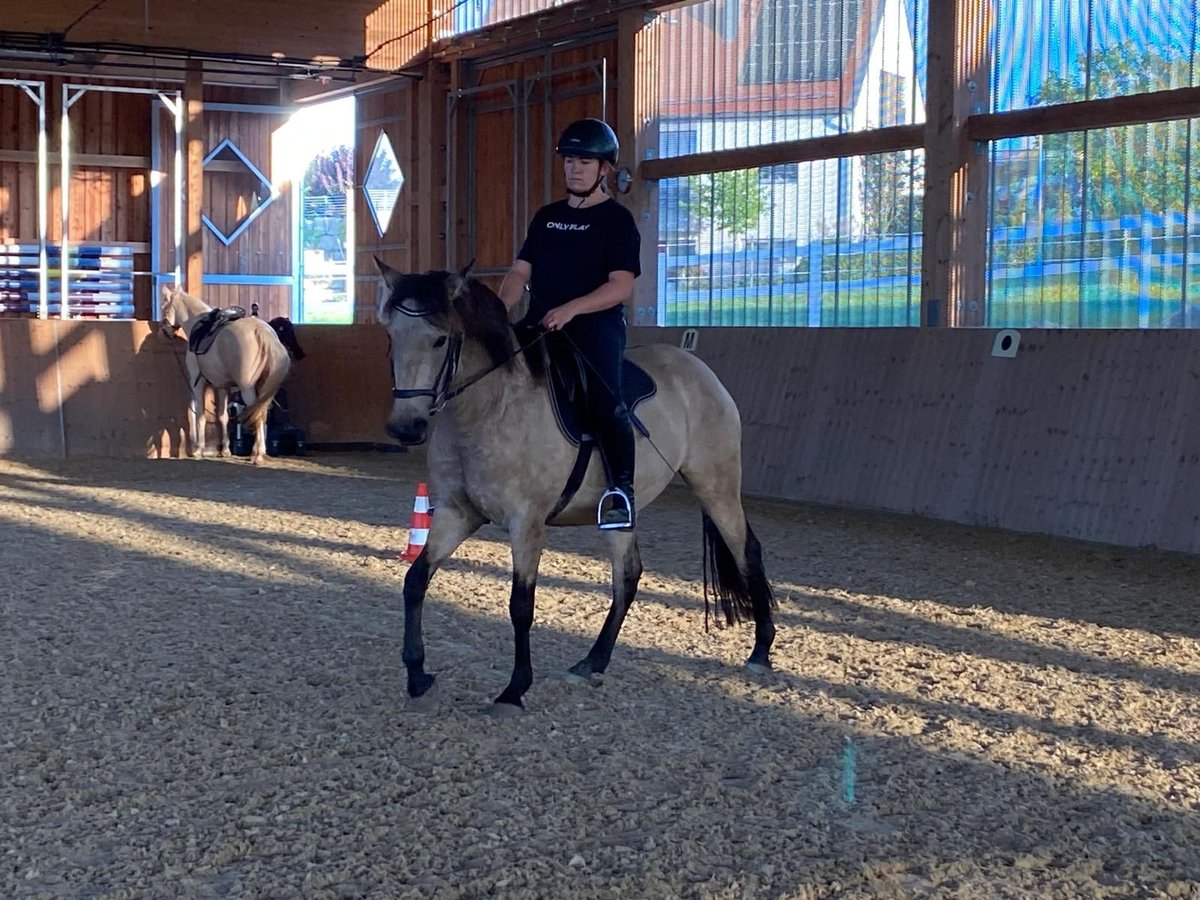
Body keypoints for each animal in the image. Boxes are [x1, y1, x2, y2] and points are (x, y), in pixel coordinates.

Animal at [159, 285, 292, 465]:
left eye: (164, 307)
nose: (163, 332)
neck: (196, 326)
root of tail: (262, 331)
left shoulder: (198, 385)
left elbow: (199, 416)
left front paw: (198, 449)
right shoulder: (222, 387)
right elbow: (223, 417)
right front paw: (225, 450)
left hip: (248, 389)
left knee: (257, 416)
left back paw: (258, 455)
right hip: (264, 389)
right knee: (262, 414)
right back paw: (256, 452)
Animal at [374, 259, 777, 710]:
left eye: (441, 339)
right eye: (391, 335)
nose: (406, 428)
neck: (488, 407)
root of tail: (697, 369)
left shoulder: (526, 523)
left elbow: (521, 604)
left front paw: (515, 689)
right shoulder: (455, 514)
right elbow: (415, 581)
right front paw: (416, 673)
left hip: (715, 483)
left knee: (747, 551)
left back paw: (760, 653)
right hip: (622, 513)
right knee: (628, 576)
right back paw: (592, 663)